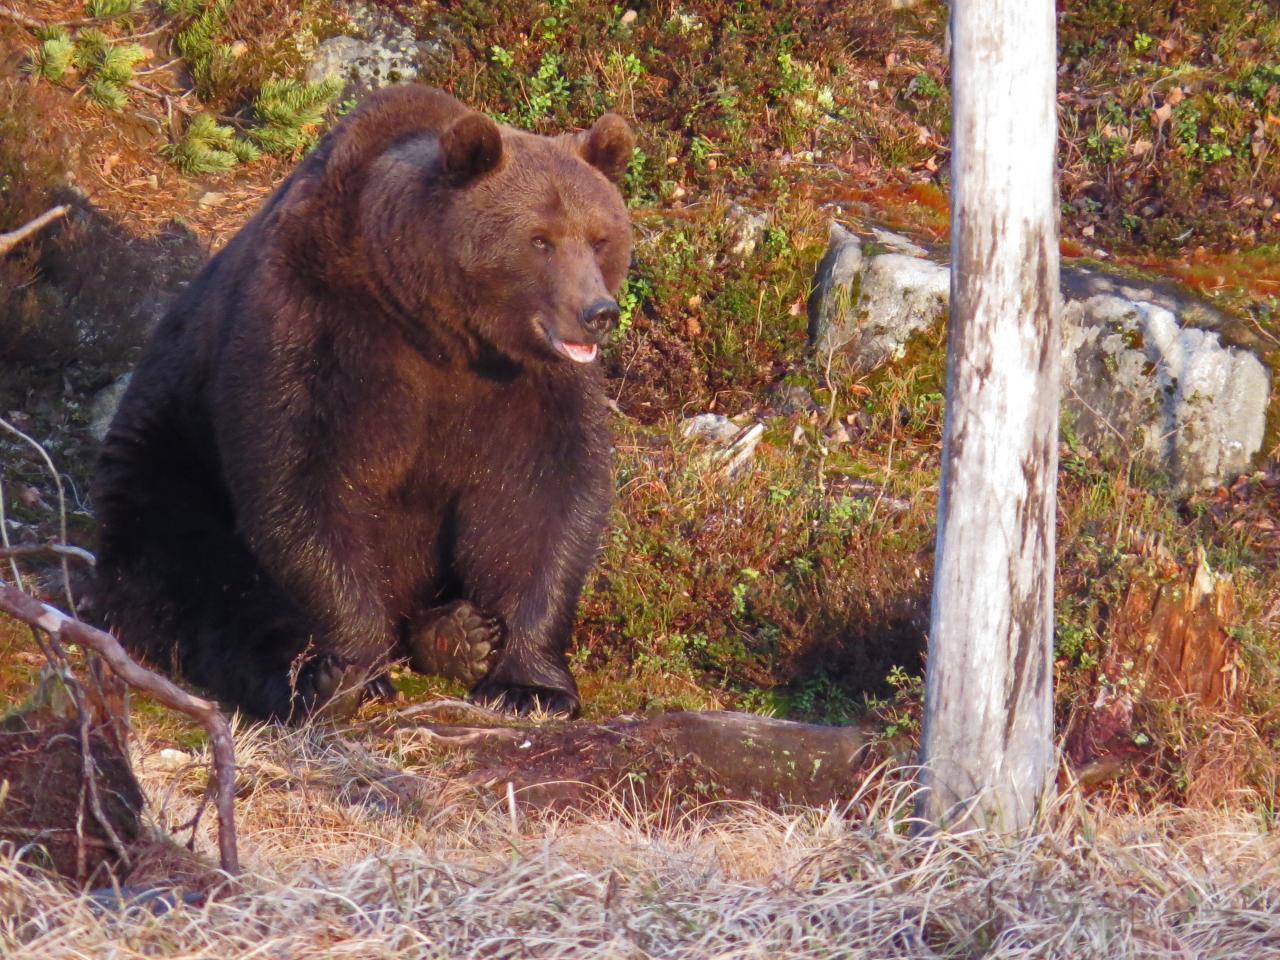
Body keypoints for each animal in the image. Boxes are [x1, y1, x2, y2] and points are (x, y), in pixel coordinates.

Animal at [92, 86, 632, 721]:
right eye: (539, 239)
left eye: (601, 238)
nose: (597, 313)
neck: (436, 324)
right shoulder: (319, 329)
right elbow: (306, 483)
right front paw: (357, 670)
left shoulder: (523, 388)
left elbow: (541, 500)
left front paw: (530, 684)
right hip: (164, 458)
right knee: (195, 572)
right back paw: (309, 677)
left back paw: (457, 632)